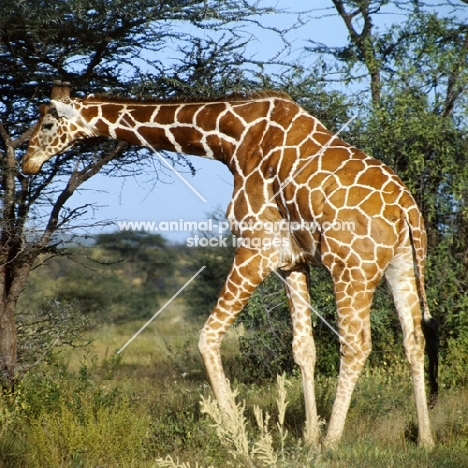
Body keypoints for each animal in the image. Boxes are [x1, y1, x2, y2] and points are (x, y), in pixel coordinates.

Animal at [22, 80, 438, 450]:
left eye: (47, 124)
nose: (27, 162)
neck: (232, 138)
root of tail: (407, 210)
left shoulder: (255, 247)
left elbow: (207, 337)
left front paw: (234, 431)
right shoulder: (292, 262)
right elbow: (303, 348)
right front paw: (307, 435)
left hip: (352, 270)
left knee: (356, 344)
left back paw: (333, 442)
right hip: (402, 265)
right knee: (413, 339)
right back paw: (425, 438)